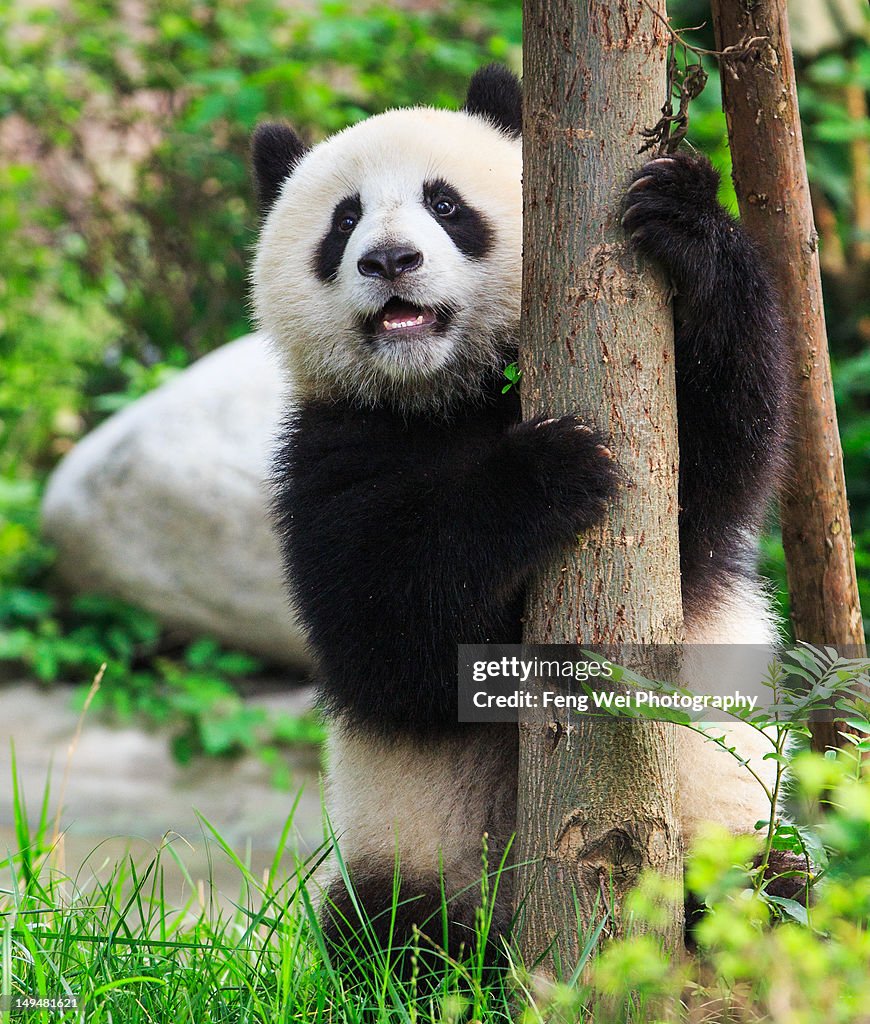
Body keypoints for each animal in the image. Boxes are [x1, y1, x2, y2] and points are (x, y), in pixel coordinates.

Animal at [251, 64, 797, 966]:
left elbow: (715, 464)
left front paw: (684, 222)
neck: (448, 394)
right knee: (387, 935)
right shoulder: (327, 453)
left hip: (726, 828)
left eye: (445, 205)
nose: (390, 259)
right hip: (415, 855)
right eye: (344, 220)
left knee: (773, 897)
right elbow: (386, 633)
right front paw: (548, 471)